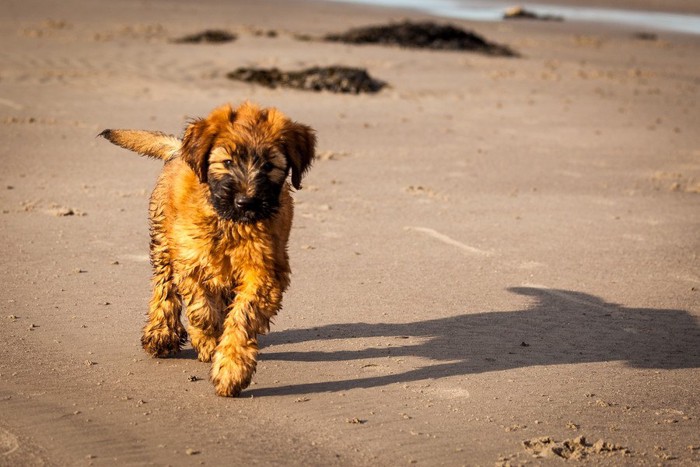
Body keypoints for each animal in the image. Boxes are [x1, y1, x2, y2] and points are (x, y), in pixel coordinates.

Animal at [100, 103, 316, 398]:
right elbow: (200, 308)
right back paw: (160, 335)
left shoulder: (264, 271)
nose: (246, 202)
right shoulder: (191, 260)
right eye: (227, 162)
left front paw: (231, 368)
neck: (230, 223)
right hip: (163, 240)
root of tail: (179, 150)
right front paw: (206, 340)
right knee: (164, 288)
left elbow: (242, 317)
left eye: (269, 166)